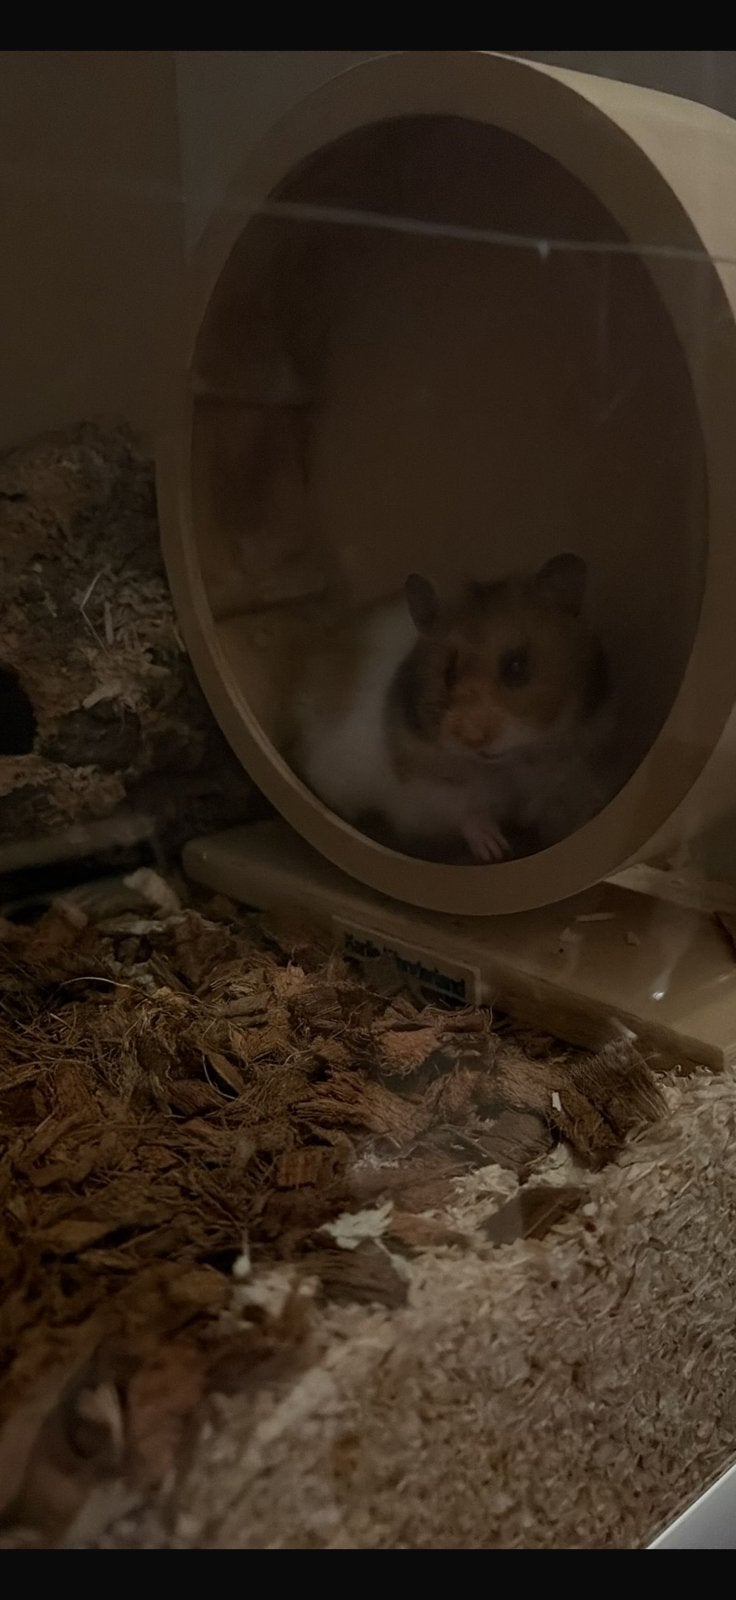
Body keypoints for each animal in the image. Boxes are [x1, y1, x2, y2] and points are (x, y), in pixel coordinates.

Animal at [287, 553, 610, 863]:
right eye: (449, 674)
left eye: (517, 667)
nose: (472, 740)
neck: (508, 764)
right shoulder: (421, 794)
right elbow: (464, 813)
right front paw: (496, 849)